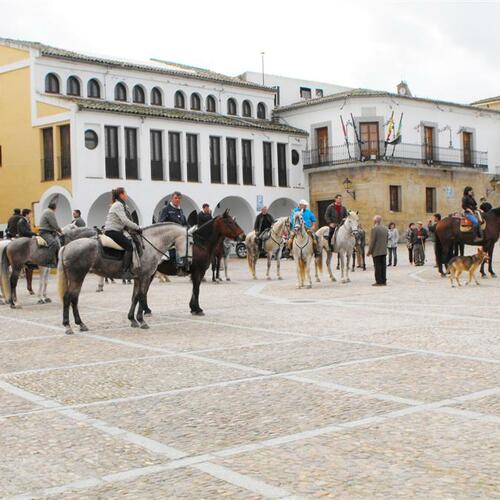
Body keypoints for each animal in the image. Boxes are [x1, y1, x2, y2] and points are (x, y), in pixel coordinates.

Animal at [57, 224, 191, 334]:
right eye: (191, 242)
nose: (188, 263)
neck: (149, 245)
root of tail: (66, 247)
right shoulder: (145, 277)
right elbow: (142, 295)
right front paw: (142, 320)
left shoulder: (137, 278)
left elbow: (135, 297)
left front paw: (132, 319)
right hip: (77, 276)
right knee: (69, 297)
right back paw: (69, 325)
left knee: (73, 298)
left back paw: (80, 324)